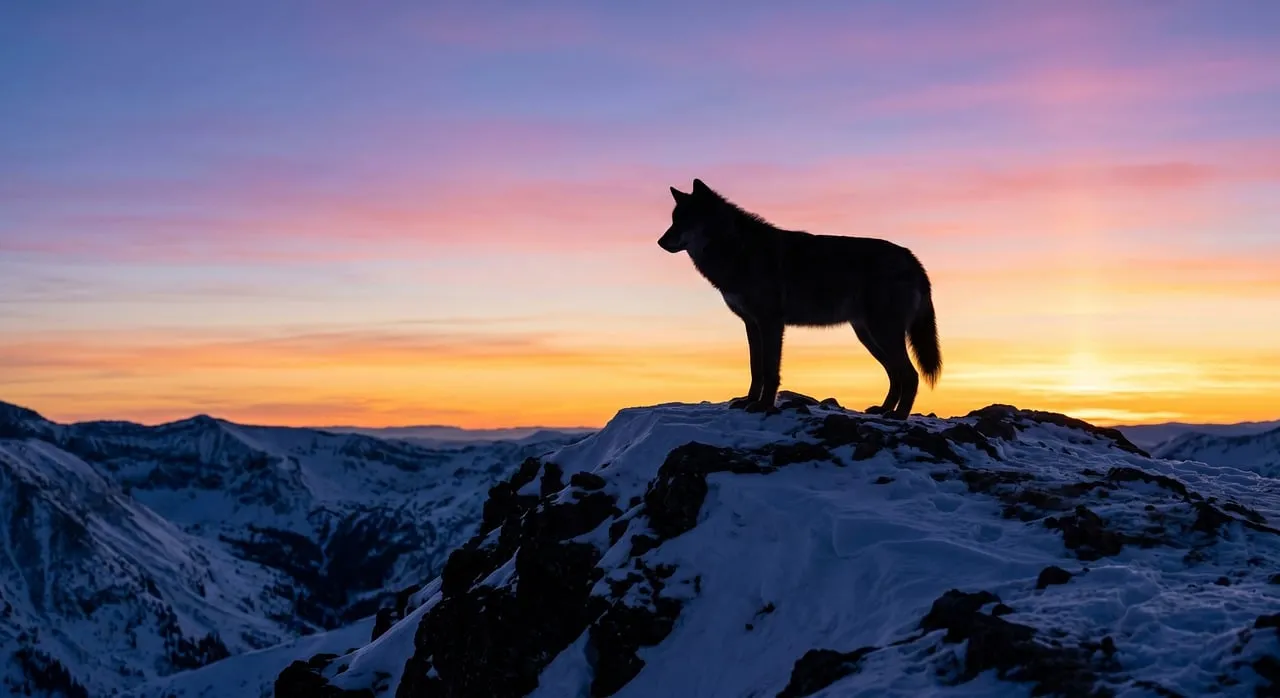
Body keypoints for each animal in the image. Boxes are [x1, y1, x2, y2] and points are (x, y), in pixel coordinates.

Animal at [658, 179, 942, 420]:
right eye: (673, 220)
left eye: (684, 220)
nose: (660, 241)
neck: (737, 250)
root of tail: (912, 258)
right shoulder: (752, 324)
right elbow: (755, 368)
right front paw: (749, 400)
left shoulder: (771, 322)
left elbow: (770, 369)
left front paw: (764, 406)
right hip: (868, 336)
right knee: (896, 374)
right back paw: (883, 410)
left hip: (882, 333)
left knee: (910, 375)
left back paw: (899, 415)